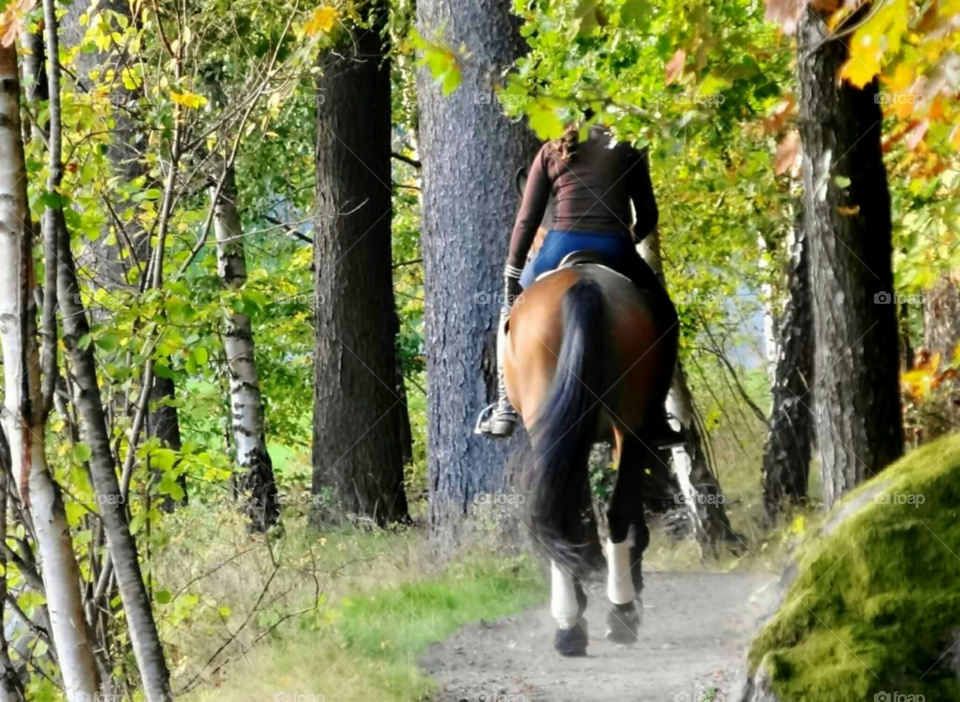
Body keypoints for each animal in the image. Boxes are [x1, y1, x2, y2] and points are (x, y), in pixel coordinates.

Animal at [498, 260, 680, 660]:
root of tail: (582, 285)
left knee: (567, 515)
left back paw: (576, 623)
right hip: (626, 428)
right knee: (611, 512)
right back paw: (614, 614)